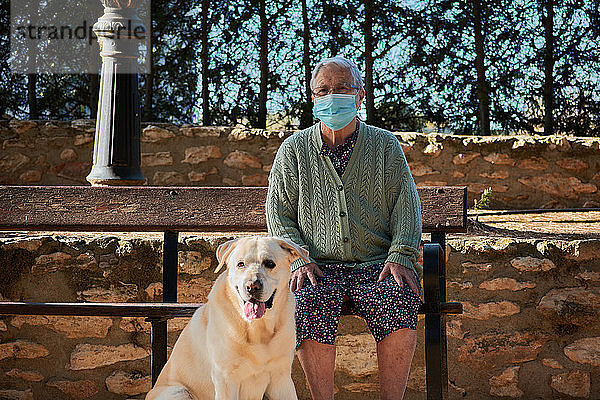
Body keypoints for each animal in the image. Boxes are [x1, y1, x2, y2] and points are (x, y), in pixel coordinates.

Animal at [146, 236, 310, 398]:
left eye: (270, 263)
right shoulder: (225, 378)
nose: (252, 286)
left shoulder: (281, 378)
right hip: (178, 391)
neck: (257, 329)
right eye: (240, 264)